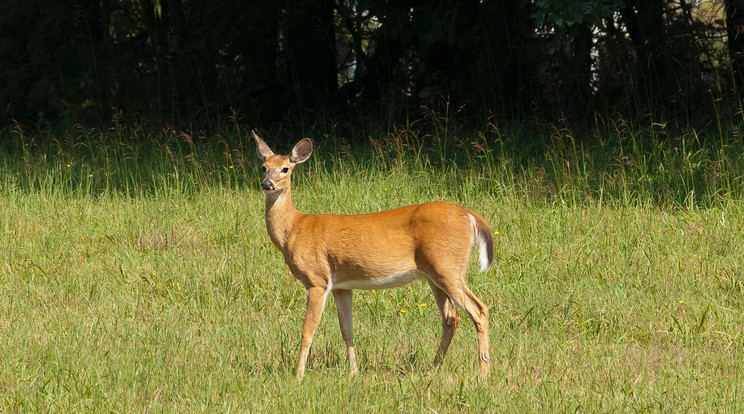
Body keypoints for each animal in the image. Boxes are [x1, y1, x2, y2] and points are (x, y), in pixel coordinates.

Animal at [254, 132, 494, 378]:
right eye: (264, 167)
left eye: (285, 169)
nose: (267, 184)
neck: (294, 229)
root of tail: (471, 216)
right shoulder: (341, 286)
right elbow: (346, 330)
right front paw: (354, 372)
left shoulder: (317, 279)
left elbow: (307, 331)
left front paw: (298, 376)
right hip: (434, 274)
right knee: (451, 317)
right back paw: (434, 368)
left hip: (447, 266)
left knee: (479, 310)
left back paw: (483, 372)